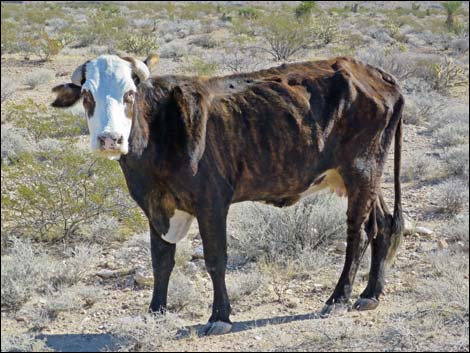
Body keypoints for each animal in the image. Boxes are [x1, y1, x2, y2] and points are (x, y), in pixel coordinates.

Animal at [51, 53, 404, 334]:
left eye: (130, 93)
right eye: (87, 95)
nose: (110, 139)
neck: (160, 131)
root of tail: (371, 72)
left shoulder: (212, 203)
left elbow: (215, 259)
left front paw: (220, 317)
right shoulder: (156, 207)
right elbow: (161, 261)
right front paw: (155, 311)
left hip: (361, 169)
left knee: (359, 233)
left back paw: (338, 298)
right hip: (363, 176)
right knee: (383, 225)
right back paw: (370, 294)